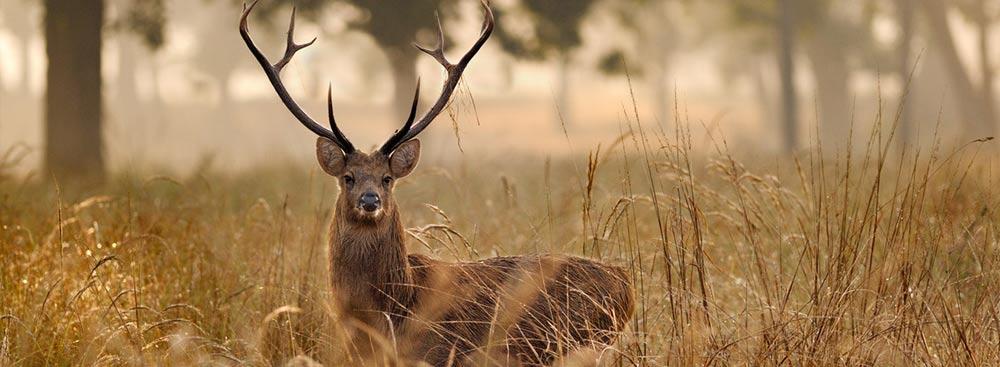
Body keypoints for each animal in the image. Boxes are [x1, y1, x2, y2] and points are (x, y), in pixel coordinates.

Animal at [240, 1, 632, 366]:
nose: (370, 200)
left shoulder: (440, 353)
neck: (388, 314)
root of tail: (625, 284)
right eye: (347, 177)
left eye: (387, 178)